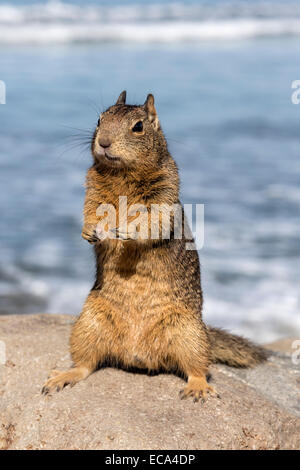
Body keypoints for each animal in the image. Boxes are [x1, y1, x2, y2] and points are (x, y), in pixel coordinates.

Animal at [41, 91, 268, 400]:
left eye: (138, 126)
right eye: (100, 119)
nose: (103, 142)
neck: (121, 173)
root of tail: (138, 356)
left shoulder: (164, 193)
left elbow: (155, 222)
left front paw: (128, 229)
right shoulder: (93, 191)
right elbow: (90, 211)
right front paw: (88, 230)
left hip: (189, 333)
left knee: (198, 366)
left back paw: (198, 387)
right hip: (88, 324)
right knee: (85, 363)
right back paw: (64, 376)